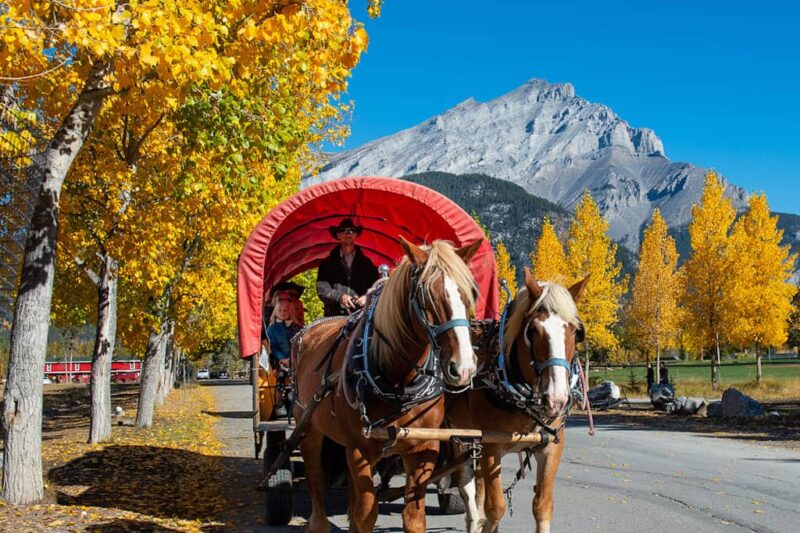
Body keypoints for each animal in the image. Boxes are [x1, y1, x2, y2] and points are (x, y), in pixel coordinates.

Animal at [292, 238, 482, 532]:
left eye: (470, 292)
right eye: (427, 295)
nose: (463, 368)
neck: (399, 382)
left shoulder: (423, 448)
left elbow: (412, 517)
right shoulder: (359, 448)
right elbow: (367, 513)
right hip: (308, 428)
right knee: (315, 482)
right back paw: (318, 521)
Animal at [450, 270, 588, 532]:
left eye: (576, 331)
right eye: (532, 330)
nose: (557, 399)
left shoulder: (551, 446)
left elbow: (542, 506)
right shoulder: (491, 445)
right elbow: (496, 508)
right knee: (468, 489)